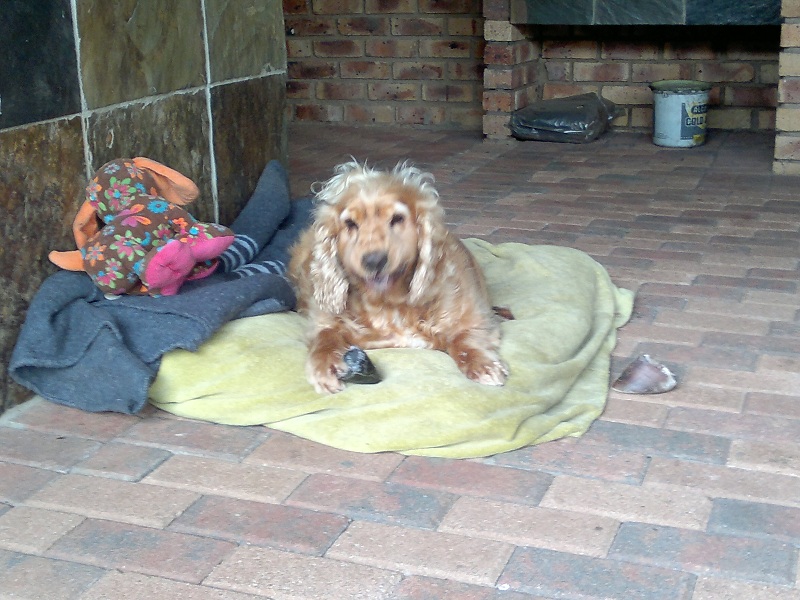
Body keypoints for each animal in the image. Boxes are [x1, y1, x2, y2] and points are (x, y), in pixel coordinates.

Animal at [288, 160, 508, 394]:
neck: (387, 304)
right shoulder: (323, 320)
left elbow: (464, 338)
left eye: (397, 219)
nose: (374, 261)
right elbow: (324, 337)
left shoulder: (473, 316)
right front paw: (325, 366)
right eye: (350, 224)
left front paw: (483, 365)